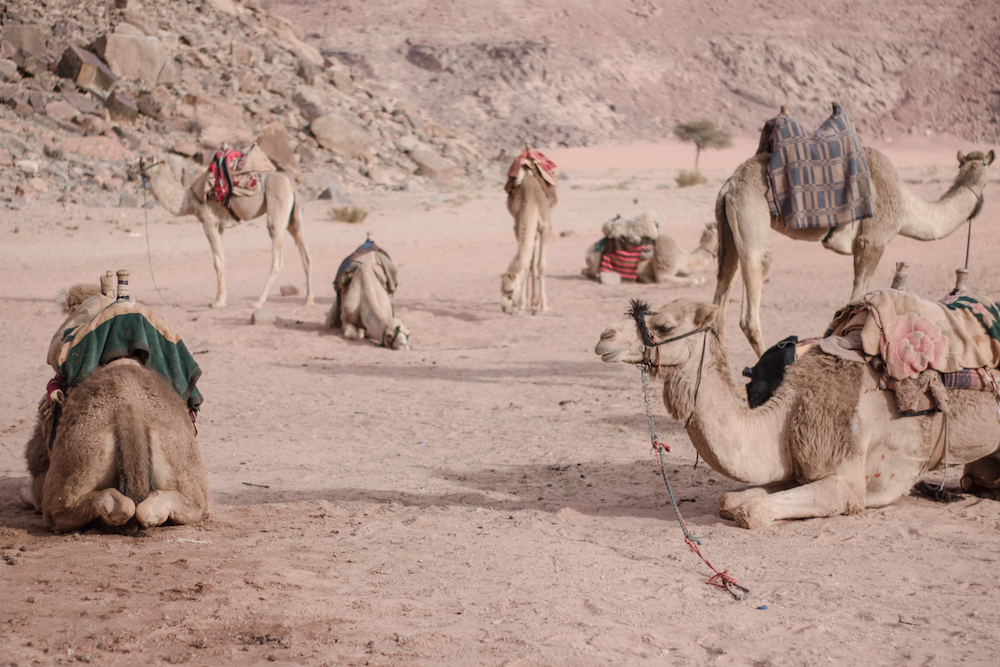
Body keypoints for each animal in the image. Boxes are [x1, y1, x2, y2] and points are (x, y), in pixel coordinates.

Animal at [500, 167, 556, 314]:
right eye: (501, 289)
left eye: (510, 290)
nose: (503, 308)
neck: (530, 202)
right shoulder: (518, 225)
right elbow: (527, 265)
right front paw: (521, 305)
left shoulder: (546, 227)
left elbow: (541, 266)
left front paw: (543, 305)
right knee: (531, 262)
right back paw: (532, 299)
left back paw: (536, 301)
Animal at [596, 300, 1000, 528]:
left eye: (664, 326)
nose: (604, 337)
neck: (789, 410)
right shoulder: (793, 466)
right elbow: (730, 500)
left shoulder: (846, 483)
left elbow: (752, 512)